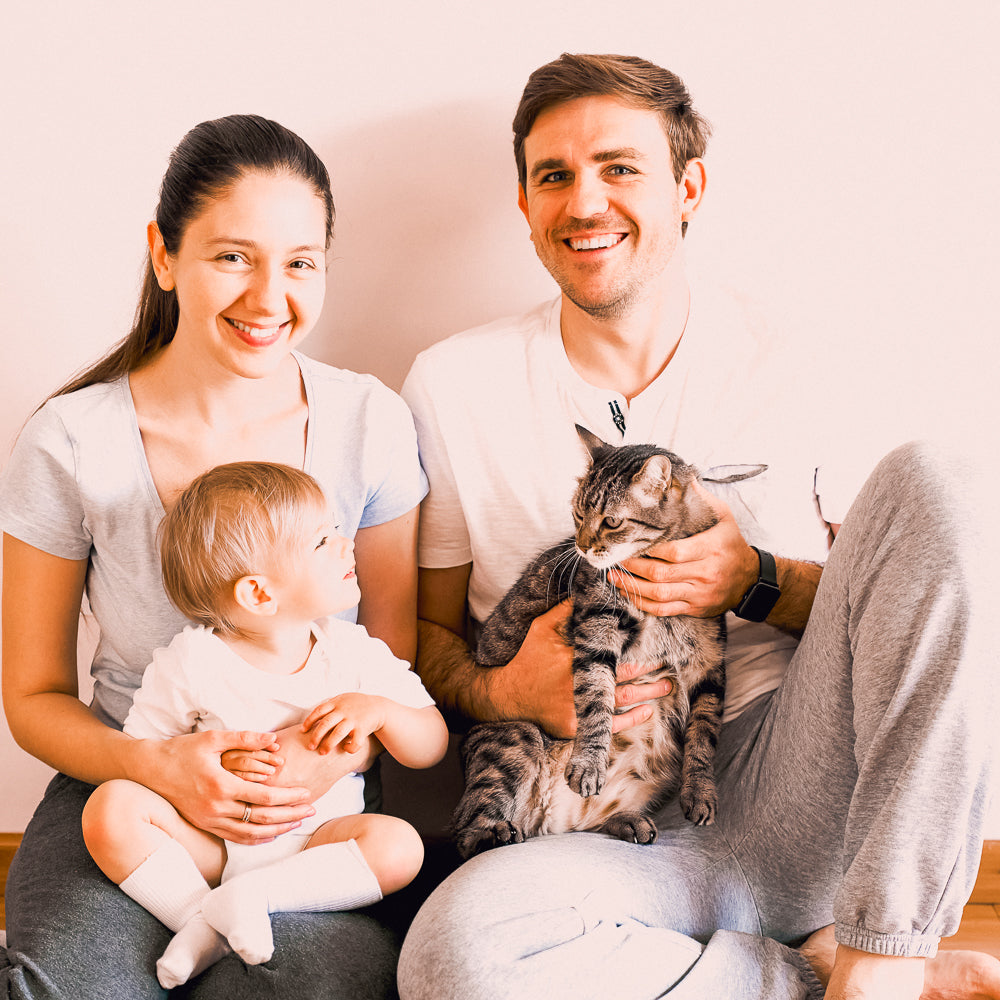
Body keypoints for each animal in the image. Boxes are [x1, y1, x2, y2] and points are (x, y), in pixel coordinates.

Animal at [454, 424, 764, 860]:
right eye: (578, 514)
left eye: (612, 521)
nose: (582, 545)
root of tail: (549, 821)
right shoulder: (596, 629)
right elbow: (596, 697)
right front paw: (588, 763)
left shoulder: (709, 663)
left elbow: (704, 736)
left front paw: (701, 792)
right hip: (511, 740)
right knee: (467, 829)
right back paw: (495, 832)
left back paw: (629, 821)